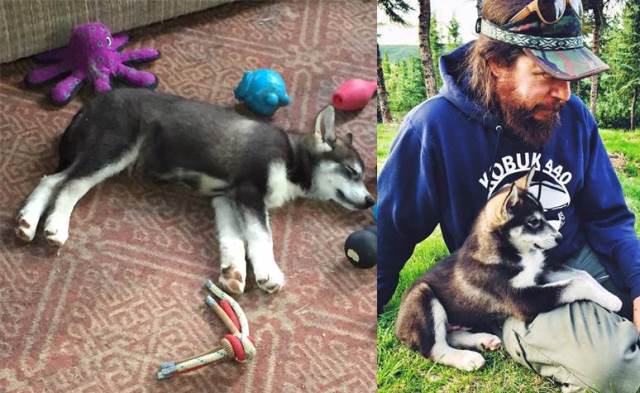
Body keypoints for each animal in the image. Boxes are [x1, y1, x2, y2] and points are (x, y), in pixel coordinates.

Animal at [16, 86, 376, 294]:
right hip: (113, 150)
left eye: (361, 176)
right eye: (352, 172)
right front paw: (268, 273)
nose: (371, 200)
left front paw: (233, 273)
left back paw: (27, 223)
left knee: (49, 179)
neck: (292, 158)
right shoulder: (249, 192)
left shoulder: (226, 199)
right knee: (69, 185)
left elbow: (233, 239)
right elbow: (262, 236)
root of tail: (90, 104)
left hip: (96, 153)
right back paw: (55, 227)